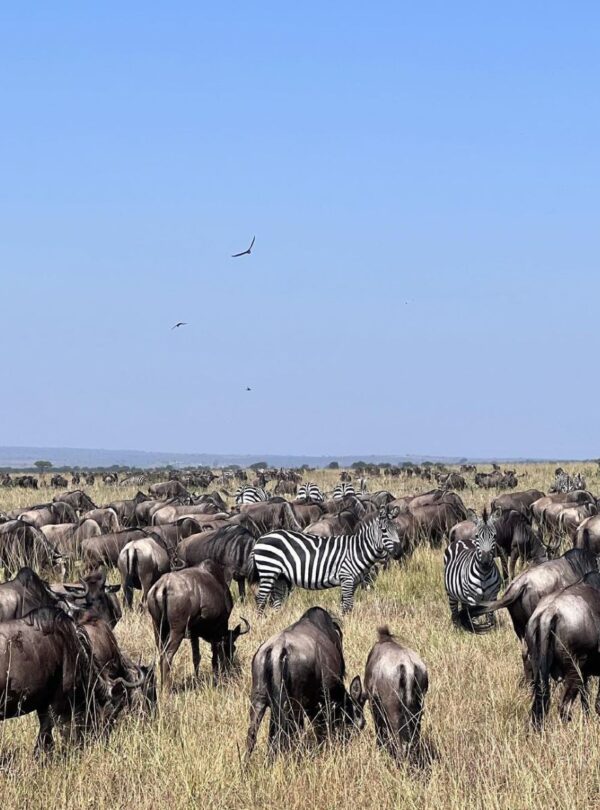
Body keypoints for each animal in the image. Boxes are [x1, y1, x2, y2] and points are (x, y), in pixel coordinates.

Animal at [251, 504, 400, 612]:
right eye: (384, 530)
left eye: (397, 529)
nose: (398, 553)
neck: (358, 550)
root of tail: (260, 539)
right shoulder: (346, 578)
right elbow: (347, 605)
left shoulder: (353, 582)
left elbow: (345, 605)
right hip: (268, 571)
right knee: (261, 599)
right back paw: (262, 621)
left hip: (279, 576)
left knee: (276, 601)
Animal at [442, 504, 500, 632]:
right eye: (477, 536)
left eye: (494, 536)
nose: (485, 562)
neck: (484, 574)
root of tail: (461, 540)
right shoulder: (472, 598)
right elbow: (474, 617)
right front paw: (476, 630)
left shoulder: (492, 596)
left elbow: (490, 615)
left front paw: (490, 631)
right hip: (451, 593)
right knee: (454, 612)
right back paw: (457, 629)